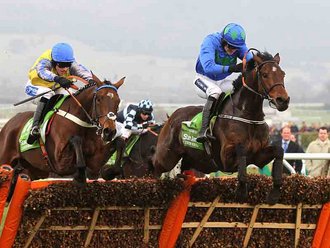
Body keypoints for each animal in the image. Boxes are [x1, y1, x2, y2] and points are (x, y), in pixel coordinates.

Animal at [153, 50, 290, 203]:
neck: (247, 115)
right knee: (156, 169)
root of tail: (170, 118)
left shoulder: (258, 156)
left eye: (283, 74)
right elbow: (242, 151)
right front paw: (241, 190)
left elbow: (279, 151)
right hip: (166, 157)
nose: (283, 100)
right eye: (265, 74)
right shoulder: (225, 159)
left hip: (192, 160)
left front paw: (274, 193)